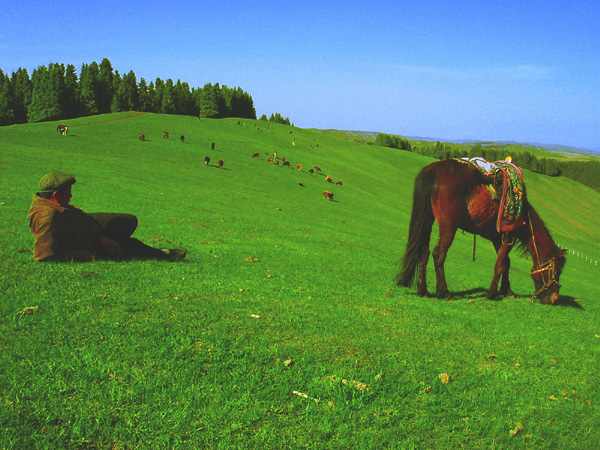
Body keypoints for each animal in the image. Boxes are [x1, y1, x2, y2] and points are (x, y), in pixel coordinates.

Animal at [396, 160, 564, 304]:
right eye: (556, 270)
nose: (554, 298)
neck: (522, 214)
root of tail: (434, 169)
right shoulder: (509, 236)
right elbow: (501, 264)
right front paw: (492, 294)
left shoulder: (497, 238)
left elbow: (506, 263)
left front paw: (507, 291)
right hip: (449, 225)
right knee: (439, 253)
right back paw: (444, 292)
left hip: (427, 219)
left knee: (424, 251)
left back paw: (423, 290)